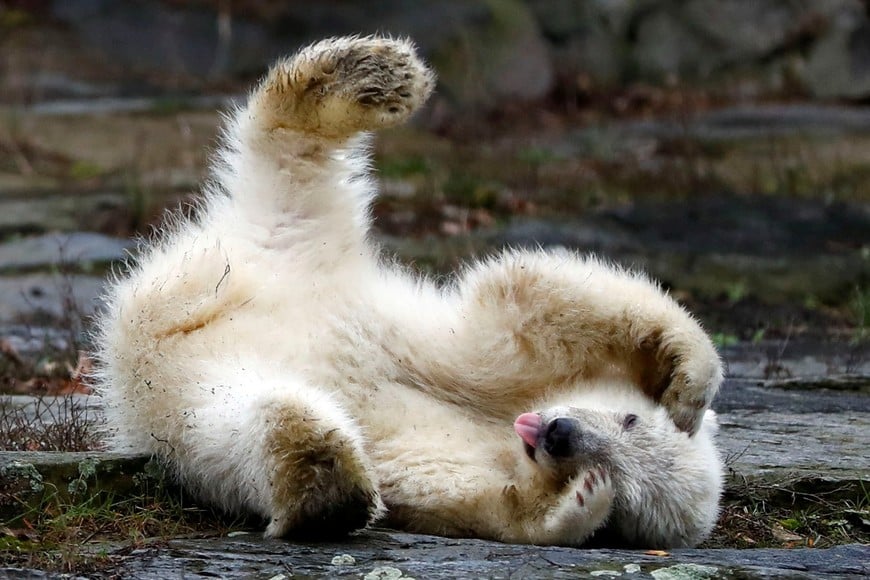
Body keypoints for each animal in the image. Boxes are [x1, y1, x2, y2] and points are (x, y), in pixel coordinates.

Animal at [93, 36, 724, 548]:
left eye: (628, 486)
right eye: (631, 419)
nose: (560, 435)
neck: (504, 420)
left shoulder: (459, 462)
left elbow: (473, 500)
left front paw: (576, 503)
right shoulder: (507, 359)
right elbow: (531, 298)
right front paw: (687, 378)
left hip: (192, 404)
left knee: (248, 426)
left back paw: (323, 474)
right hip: (287, 239)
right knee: (291, 157)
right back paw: (373, 76)